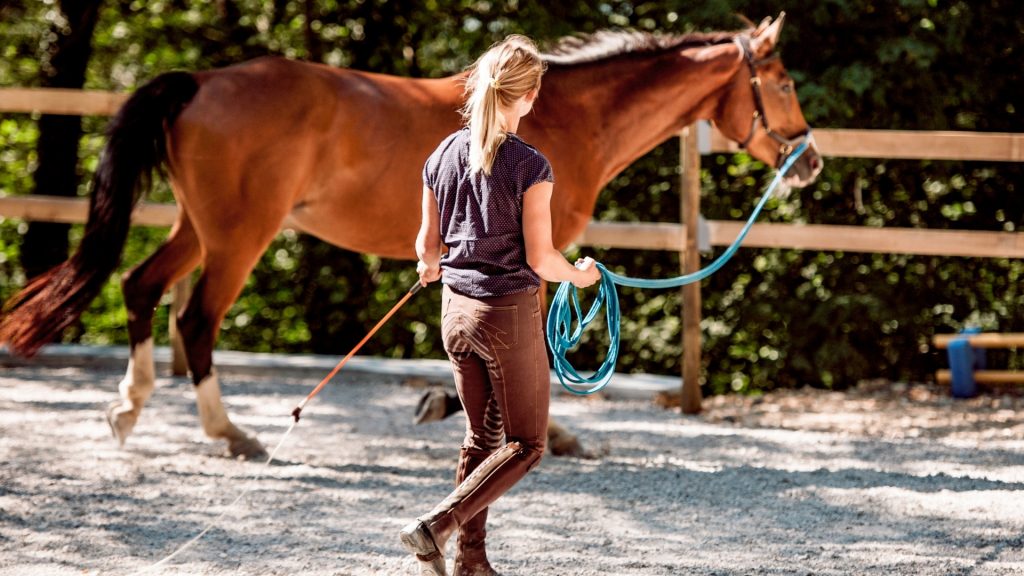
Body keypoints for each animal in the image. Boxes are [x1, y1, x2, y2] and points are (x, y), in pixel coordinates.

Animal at [0, 14, 822, 458]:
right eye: (782, 83)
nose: (810, 160)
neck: (566, 114)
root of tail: (201, 81)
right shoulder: (538, 251)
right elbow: (529, 339)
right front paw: (543, 431)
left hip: (198, 227)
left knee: (141, 287)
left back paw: (128, 410)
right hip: (238, 236)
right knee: (196, 319)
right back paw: (230, 432)